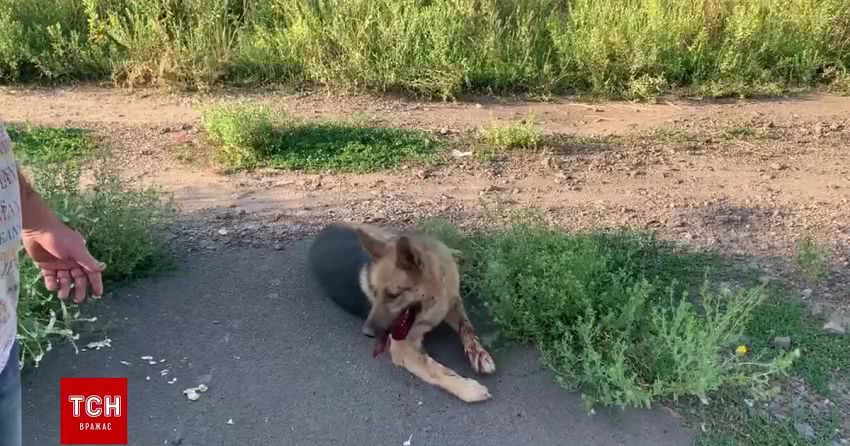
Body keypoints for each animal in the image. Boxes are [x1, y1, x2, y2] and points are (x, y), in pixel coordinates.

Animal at [306, 225, 494, 402]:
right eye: (374, 292)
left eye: (394, 295)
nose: (367, 333)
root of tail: (324, 231)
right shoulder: (402, 347)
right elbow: (435, 368)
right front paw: (467, 388)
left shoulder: (453, 303)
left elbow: (467, 328)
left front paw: (479, 354)